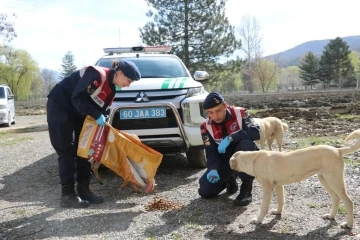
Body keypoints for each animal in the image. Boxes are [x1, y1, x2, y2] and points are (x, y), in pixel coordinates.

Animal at [231, 129, 360, 229]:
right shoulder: (278, 185)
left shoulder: (267, 188)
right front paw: (277, 213)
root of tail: (338, 150)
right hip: (325, 180)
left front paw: (258, 221)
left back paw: (348, 225)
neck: (253, 159)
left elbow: (264, 207)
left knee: (348, 202)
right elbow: (281, 201)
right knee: (336, 198)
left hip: (334, 181)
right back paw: (331, 216)